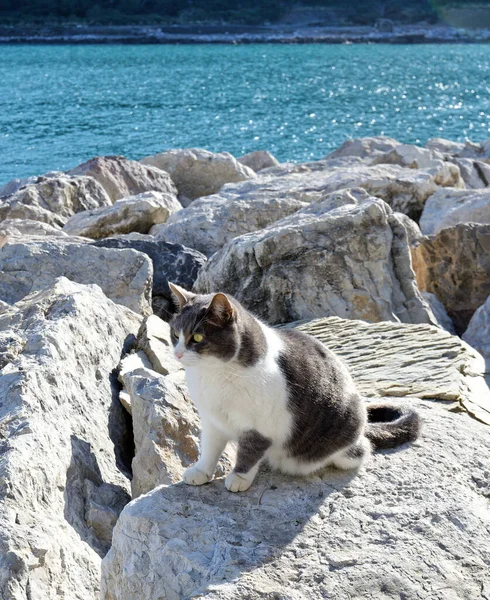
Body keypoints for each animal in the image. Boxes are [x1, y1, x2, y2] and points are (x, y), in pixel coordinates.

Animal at [169, 282, 422, 492]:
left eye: (197, 338)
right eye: (175, 335)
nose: (177, 353)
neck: (215, 375)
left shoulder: (262, 427)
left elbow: (249, 452)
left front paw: (239, 478)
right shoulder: (212, 420)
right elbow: (209, 449)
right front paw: (201, 471)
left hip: (342, 440)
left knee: (362, 448)